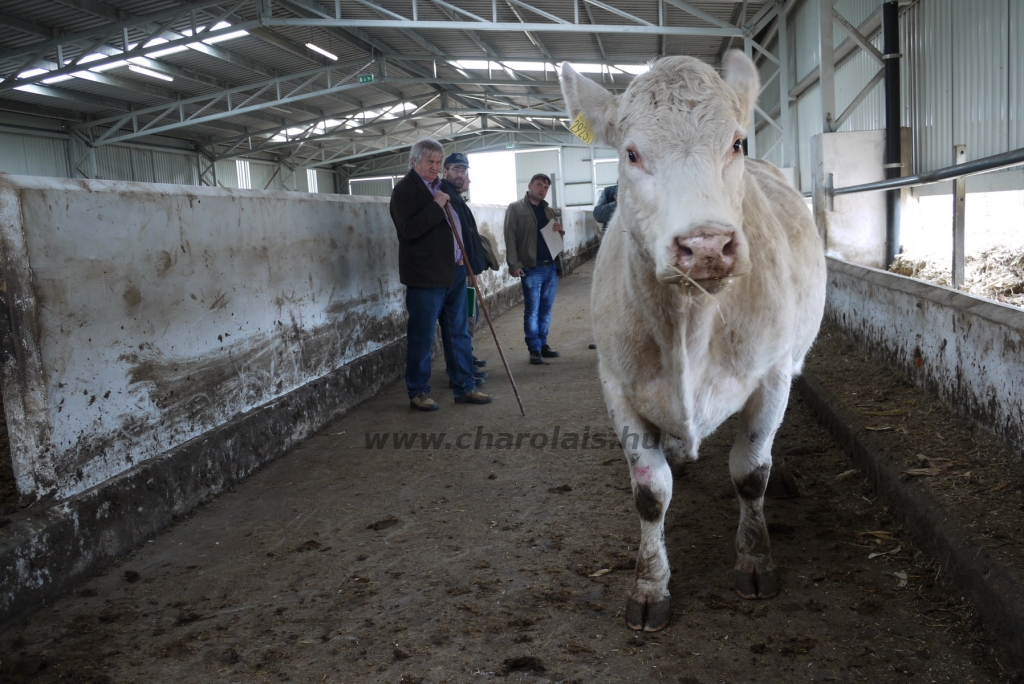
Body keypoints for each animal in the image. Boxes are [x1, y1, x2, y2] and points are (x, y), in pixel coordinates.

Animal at [565, 52, 827, 630]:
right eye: (631, 152)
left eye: (736, 143)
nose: (706, 244)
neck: (688, 324)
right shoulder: (618, 384)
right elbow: (649, 493)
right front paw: (649, 587)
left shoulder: (771, 374)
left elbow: (751, 472)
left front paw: (755, 560)